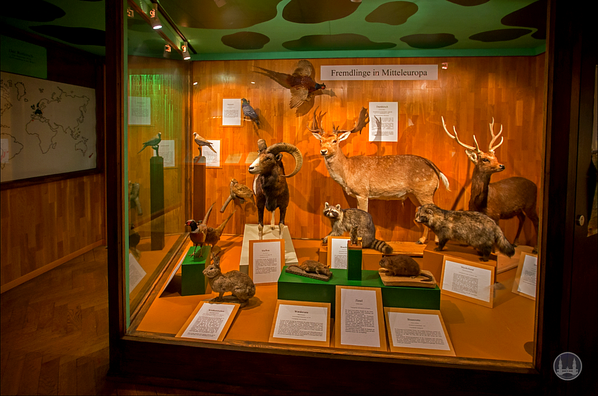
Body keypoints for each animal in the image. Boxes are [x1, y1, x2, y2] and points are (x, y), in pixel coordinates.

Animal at [314, 108, 450, 244]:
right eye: (320, 140)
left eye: (335, 140)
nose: (323, 151)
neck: (347, 172)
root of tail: (435, 168)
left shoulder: (362, 191)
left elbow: (364, 212)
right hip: (414, 194)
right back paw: (424, 239)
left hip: (425, 190)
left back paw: (429, 240)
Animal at [442, 116, 540, 249]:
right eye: (485, 159)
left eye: (495, 157)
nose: (501, 165)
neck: (480, 202)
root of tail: (535, 185)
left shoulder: (496, 213)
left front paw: (494, 250)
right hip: (519, 209)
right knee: (523, 218)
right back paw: (515, 243)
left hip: (531, 204)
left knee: (536, 220)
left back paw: (535, 249)